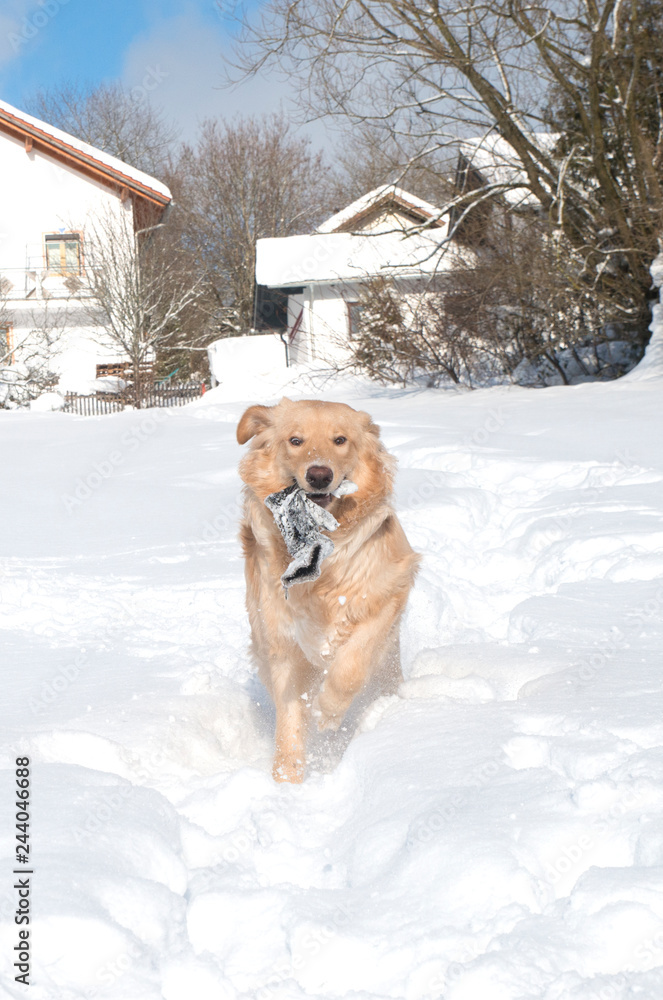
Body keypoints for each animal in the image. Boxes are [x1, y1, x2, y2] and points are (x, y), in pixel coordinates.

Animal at [236, 396, 418, 780]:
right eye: (295, 440)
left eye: (340, 440)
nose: (319, 475)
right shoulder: (280, 637)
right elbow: (289, 716)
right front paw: (286, 780)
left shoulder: (388, 594)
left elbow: (351, 666)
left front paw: (328, 711)